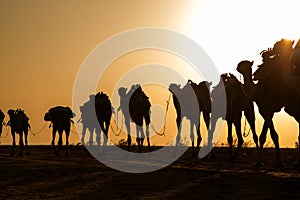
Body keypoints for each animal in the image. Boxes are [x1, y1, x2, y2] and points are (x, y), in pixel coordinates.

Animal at [236, 38, 298, 166]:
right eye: (241, 65)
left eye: (246, 65)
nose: (237, 66)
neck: (255, 90)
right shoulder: (268, 111)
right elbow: (264, 135)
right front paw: (262, 161)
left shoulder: (265, 108)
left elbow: (271, 135)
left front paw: (278, 162)